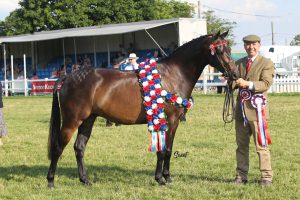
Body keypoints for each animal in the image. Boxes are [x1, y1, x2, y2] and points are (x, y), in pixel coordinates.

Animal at [46, 30, 237, 187]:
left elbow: (166, 150)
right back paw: (51, 181)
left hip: (88, 120)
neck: (173, 75)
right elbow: (164, 150)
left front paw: (165, 177)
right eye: (220, 51)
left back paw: (85, 180)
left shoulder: (172, 123)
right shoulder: (169, 120)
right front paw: (162, 179)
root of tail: (68, 77)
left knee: (79, 148)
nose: (234, 74)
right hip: (72, 121)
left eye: (229, 48)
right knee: (58, 148)